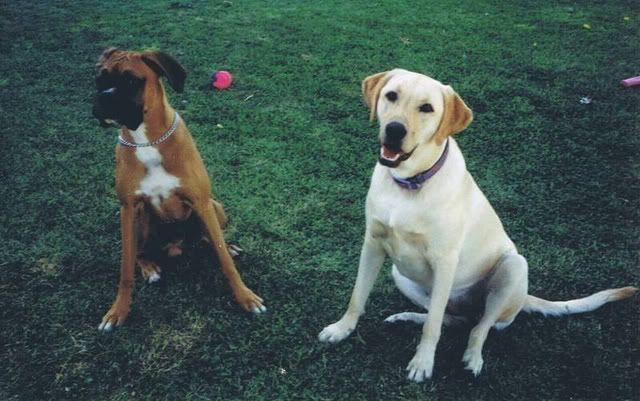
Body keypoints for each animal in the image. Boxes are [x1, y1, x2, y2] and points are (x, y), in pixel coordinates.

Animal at [92, 48, 266, 331]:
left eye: (131, 80)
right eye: (100, 79)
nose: (104, 97)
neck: (147, 141)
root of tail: (176, 247)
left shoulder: (202, 202)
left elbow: (225, 262)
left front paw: (246, 297)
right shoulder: (128, 208)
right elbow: (125, 268)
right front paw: (118, 311)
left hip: (216, 207)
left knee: (210, 239)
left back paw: (227, 246)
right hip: (140, 219)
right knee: (139, 252)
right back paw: (150, 268)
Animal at [318, 69, 637, 381]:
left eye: (427, 108)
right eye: (391, 96)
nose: (395, 130)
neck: (410, 184)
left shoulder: (445, 261)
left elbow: (432, 327)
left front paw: (423, 363)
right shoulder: (372, 243)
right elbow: (358, 295)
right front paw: (341, 329)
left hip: (513, 267)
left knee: (479, 326)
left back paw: (473, 357)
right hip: (401, 274)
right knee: (451, 319)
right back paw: (406, 318)